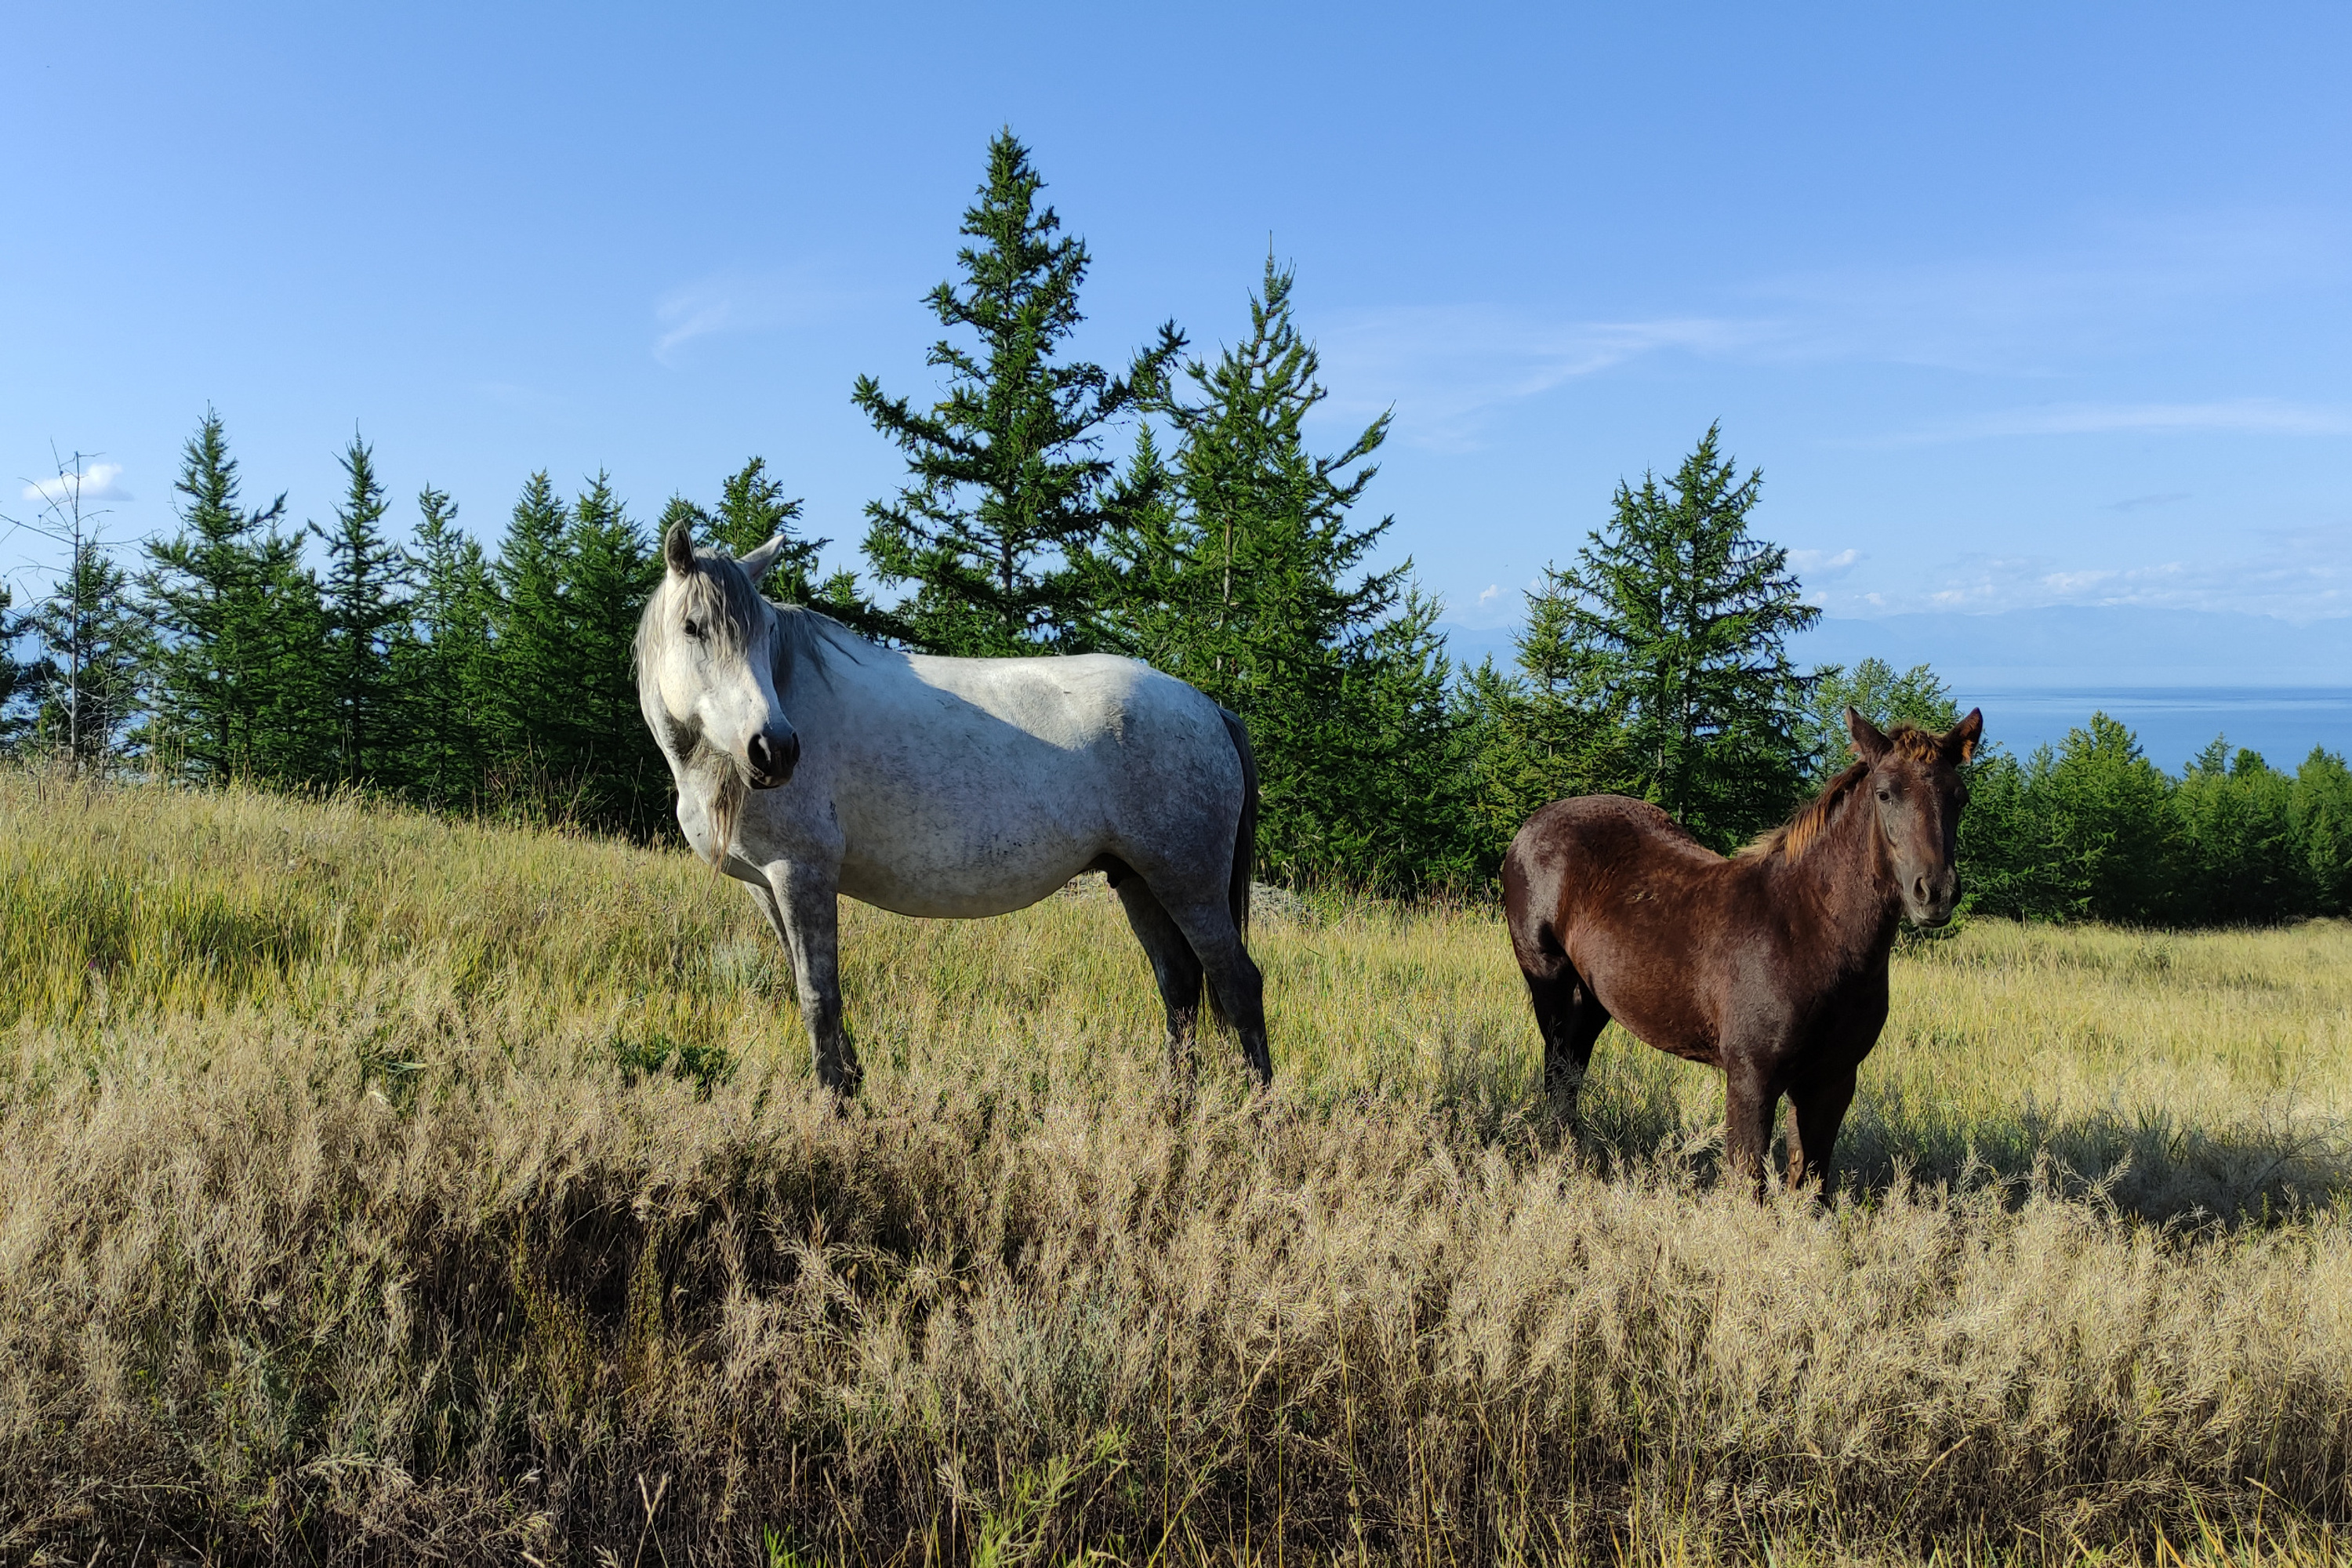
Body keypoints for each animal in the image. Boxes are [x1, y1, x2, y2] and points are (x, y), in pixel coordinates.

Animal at [630, 521, 1270, 1100]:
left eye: (764, 632)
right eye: (693, 627)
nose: (776, 749)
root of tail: (1208, 708)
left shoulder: (802, 875)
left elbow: (819, 995)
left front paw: (837, 1106)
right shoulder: (765, 885)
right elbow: (806, 984)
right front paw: (851, 1086)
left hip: (1189, 884)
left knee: (1237, 982)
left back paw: (1258, 1112)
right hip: (1138, 880)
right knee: (1180, 984)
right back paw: (1174, 1106)